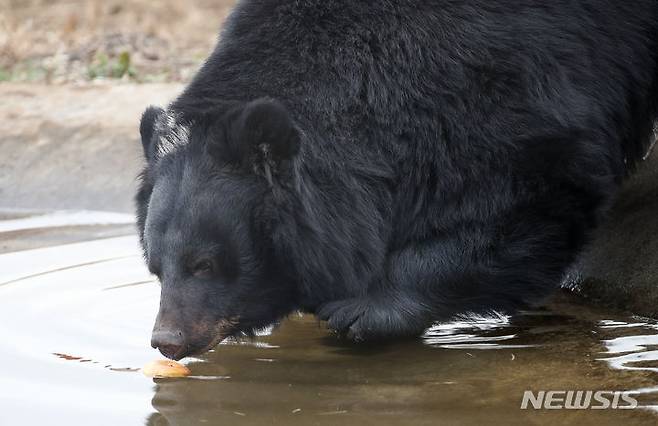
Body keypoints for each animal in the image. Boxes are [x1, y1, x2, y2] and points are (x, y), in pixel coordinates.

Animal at [135, 0, 656, 360]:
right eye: (157, 267)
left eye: (205, 264)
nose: (167, 341)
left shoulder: (519, 81)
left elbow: (536, 190)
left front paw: (361, 310)